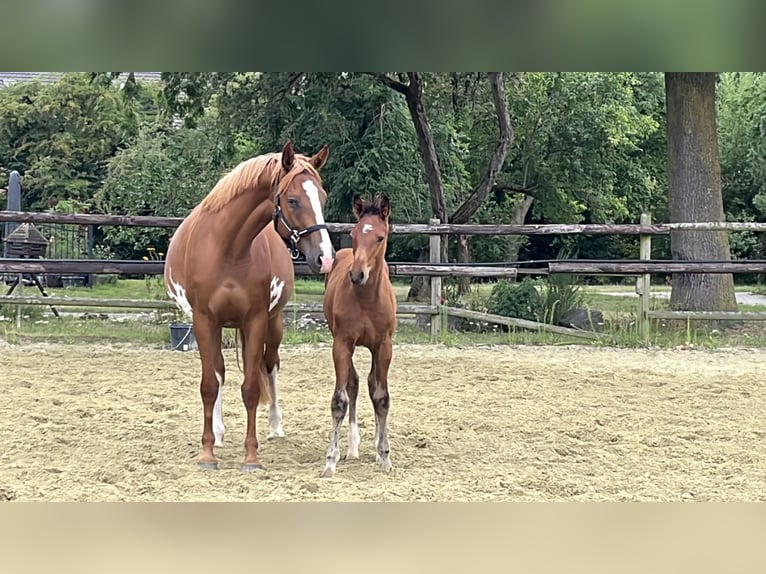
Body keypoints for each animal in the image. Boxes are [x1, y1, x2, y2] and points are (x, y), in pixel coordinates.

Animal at [164, 141, 335, 472]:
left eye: (322, 197)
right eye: (293, 200)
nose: (325, 258)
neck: (227, 247)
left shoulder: (255, 320)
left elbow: (252, 388)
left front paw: (251, 456)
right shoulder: (204, 321)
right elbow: (209, 384)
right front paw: (207, 453)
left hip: (274, 323)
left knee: (270, 366)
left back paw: (275, 427)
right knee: (218, 371)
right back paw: (218, 433)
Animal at [320, 194, 397, 477]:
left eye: (380, 237)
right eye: (353, 235)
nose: (357, 274)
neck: (366, 299)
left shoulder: (384, 346)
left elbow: (381, 397)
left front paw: (384, 456)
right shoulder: (342, 344)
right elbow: (340, 398)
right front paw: (330, 460)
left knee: (373, 384)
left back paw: (375, 446)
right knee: (353, 383)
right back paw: (351, 448)